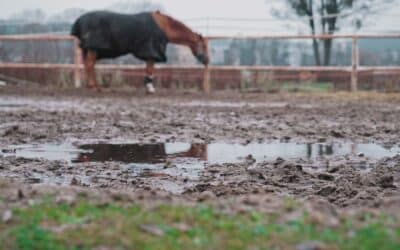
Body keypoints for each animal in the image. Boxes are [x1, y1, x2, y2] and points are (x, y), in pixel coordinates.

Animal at [71, 10, 209, 93]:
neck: (163, 26)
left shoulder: (150, 53)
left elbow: (149, 70)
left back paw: (92, 86)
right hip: (92, 49)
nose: (207, 60)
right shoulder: (151, 52)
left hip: (89, 49)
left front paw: (148, 87)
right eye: (203, 46)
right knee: (90, 65)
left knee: (88, 65)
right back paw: (94, 87)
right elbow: (150, 70)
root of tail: (79, 21)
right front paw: (150, 88)